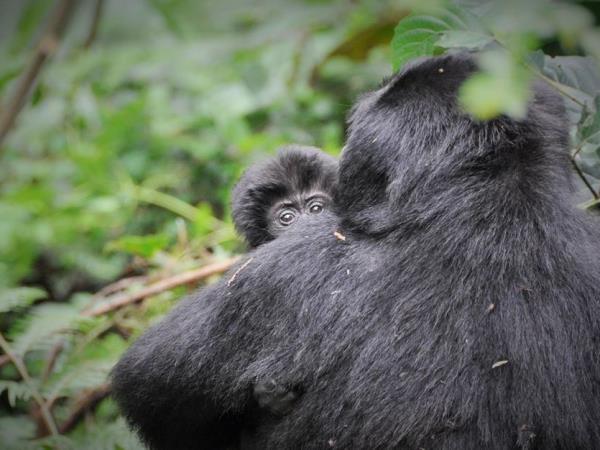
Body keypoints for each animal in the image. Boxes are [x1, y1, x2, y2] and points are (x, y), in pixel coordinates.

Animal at [111, 53, 600, 450]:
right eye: (285, 216)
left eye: (316, 207)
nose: (301, 224)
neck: (488, 196)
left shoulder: (279, 271)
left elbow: (145, 386)